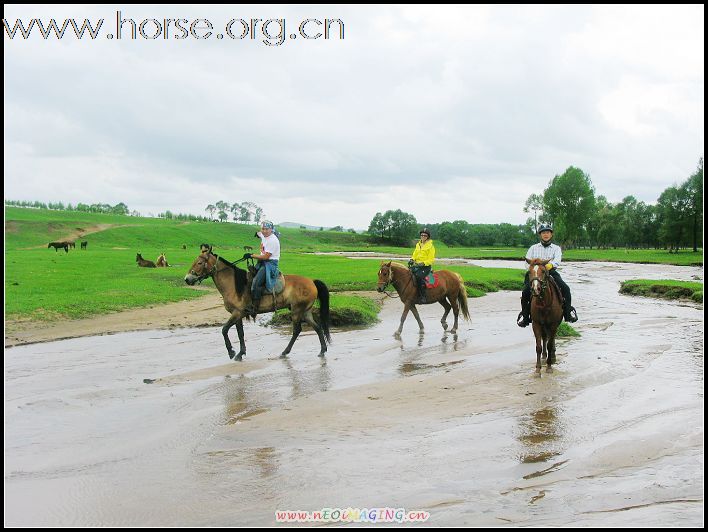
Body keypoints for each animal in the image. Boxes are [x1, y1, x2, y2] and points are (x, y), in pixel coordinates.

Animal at [187, 250, 334, 360]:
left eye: (200, 262)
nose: (187, 279)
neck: (233, 285)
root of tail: (312, 282)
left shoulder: (237, 313)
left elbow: (224, 330)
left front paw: (231, 352)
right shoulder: (238, 314)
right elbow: (240, 334)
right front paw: (240, 353)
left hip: (297, 311)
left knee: (297, 330)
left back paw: (285, 352)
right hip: (305, 311)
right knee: (318, 327)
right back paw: (322, 350)